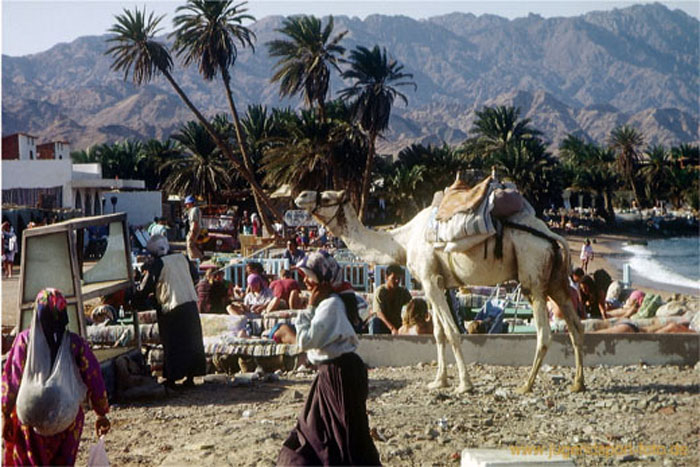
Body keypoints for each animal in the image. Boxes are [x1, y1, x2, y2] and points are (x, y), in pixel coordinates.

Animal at [296, 188, 584, 394]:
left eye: (328, 197)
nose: (301, 196)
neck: (402, 241)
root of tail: (555, 238)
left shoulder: (429, 278)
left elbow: (453, 332)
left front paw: (464, 385)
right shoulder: (433, 282)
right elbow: (438, 333)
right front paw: (439, 381)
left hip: (533, 276)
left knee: (544, 333)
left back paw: (527, 385)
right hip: (556, 281)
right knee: (576, 326)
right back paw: (577, 383)